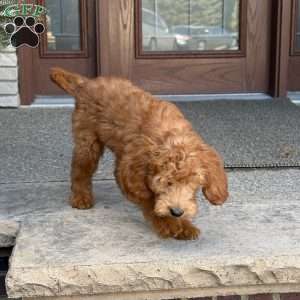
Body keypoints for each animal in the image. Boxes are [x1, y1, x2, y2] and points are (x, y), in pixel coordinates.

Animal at [49, 67, 227, 239]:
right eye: (166, 182)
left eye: (191, 183)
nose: (176, 212)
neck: (171, 134)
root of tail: (87, 83)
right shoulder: (133, 167)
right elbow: (149, 200)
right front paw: (175, 226)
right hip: (87, 139)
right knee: (80, 170)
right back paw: (81, 198)